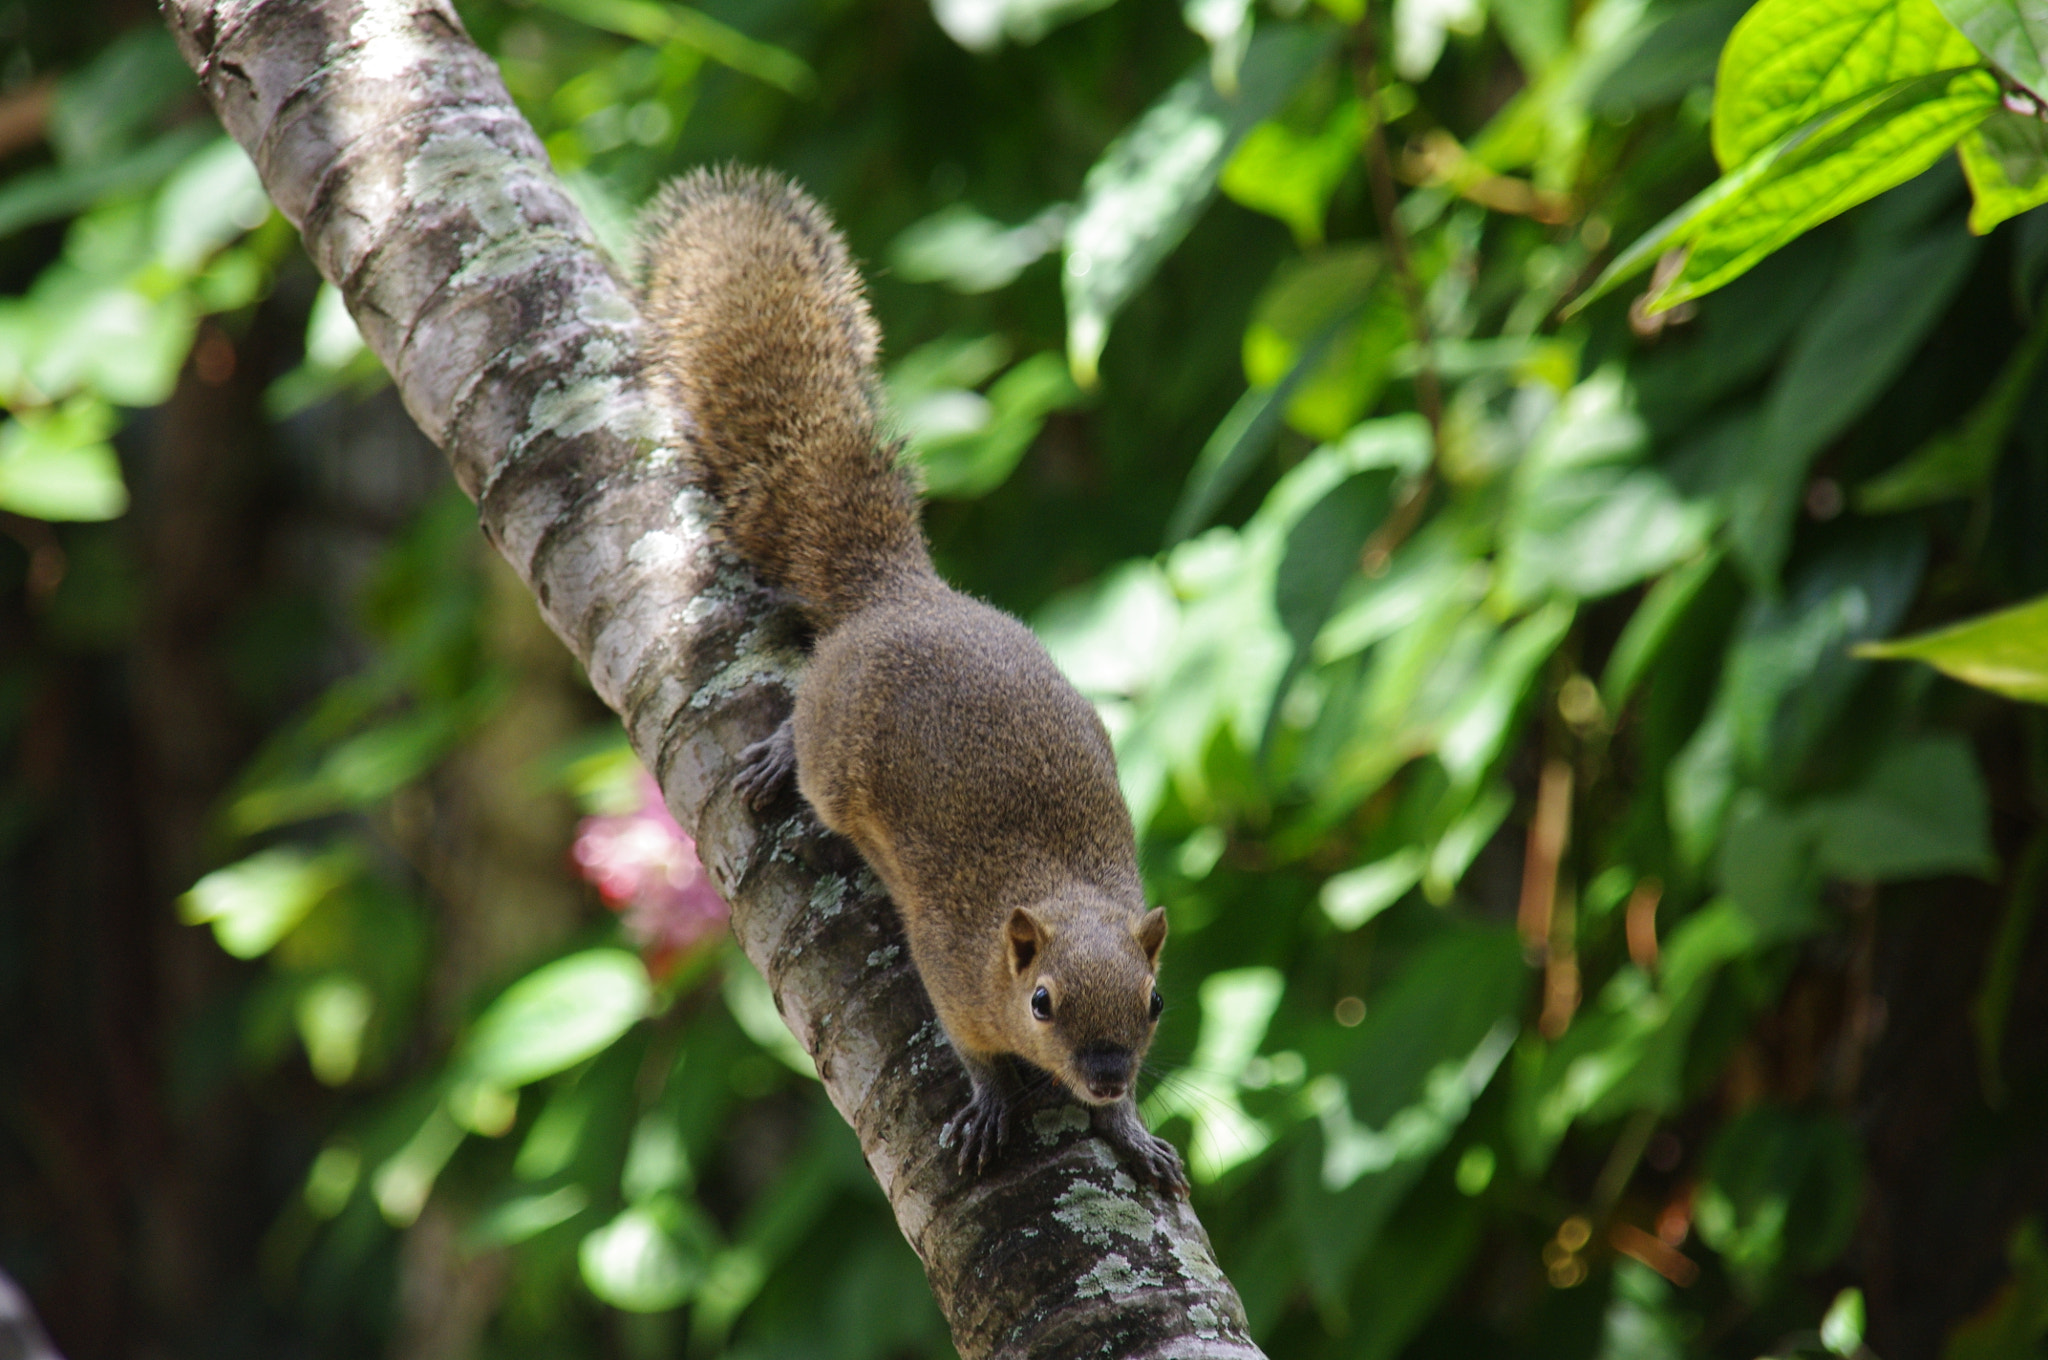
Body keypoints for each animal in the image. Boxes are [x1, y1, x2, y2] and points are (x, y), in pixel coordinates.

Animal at [639, 166, 1186, 1196]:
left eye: (1156, 1001)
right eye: (1042, 1002)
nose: (1104, 1074)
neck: (1055, 891)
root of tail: (897, 591)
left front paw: (1131, 1128)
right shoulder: (950, 967)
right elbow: (974, 1055)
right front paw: (993, 1106)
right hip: (831, 744)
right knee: (805, 737)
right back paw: (775, 755)